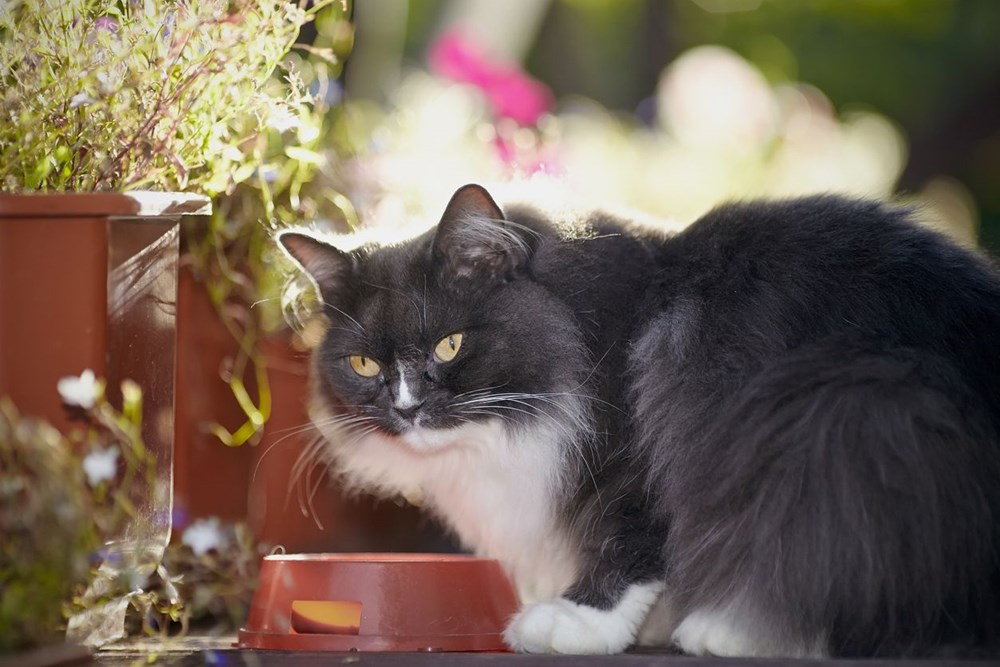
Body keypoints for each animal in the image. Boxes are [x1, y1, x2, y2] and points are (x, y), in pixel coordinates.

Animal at [278, 183, 1000, 656]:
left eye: (449, 346)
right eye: (366, 364)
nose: (404, 405)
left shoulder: (642, 439)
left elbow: (631, 539)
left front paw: (575, 619)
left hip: (846, 411)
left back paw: (731, 631)